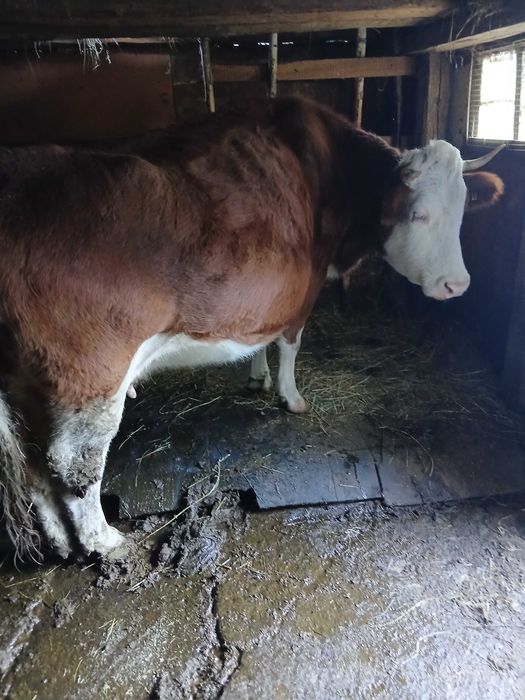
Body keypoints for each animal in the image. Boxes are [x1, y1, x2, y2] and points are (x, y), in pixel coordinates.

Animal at [0, 97, 504, 560]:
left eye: (462, 212)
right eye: (418, 213)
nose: (457, 284)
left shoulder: (263, 297)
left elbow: (259, 337)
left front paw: (257, 376)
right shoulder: (303, 287)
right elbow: (291, 344)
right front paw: (290, 396)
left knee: (32, 466)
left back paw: (60, 541)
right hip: (87, 376)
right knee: (72, 463)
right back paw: (103, 541)